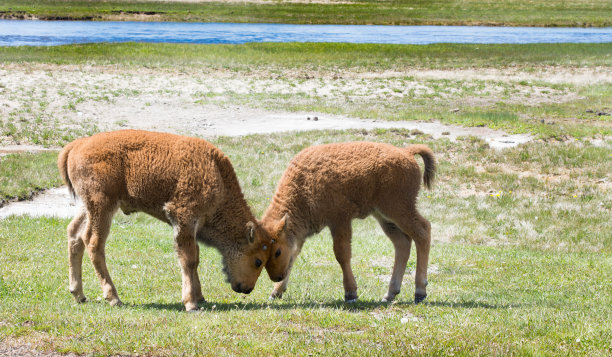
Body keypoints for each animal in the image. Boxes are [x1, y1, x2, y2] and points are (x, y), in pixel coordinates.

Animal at [58, 129, 272, 310]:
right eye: (258, 261)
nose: (247, 289)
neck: (218, 175)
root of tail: (77, 145)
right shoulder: (183, 217)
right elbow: (189, 259)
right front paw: (191, 303)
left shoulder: (191, 227)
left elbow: (195, 257)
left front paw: (200, 297)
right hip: (102, 206)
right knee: (93, 242)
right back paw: (114, 298)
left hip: (88, 207)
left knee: (74, 234)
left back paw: (78, 294)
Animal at [262, 142, 436, 304]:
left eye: (277, 252)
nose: (276, 277)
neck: (302, 185)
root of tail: (406, 152)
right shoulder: (303, 233)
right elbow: (294, 255)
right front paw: (276, 292)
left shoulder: (339, 221)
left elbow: (342, 254)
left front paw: (351, 294)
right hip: (384, 217)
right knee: (402, 243)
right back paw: (389, 294)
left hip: (398, 209)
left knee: (423, 231)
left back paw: (419, 292)